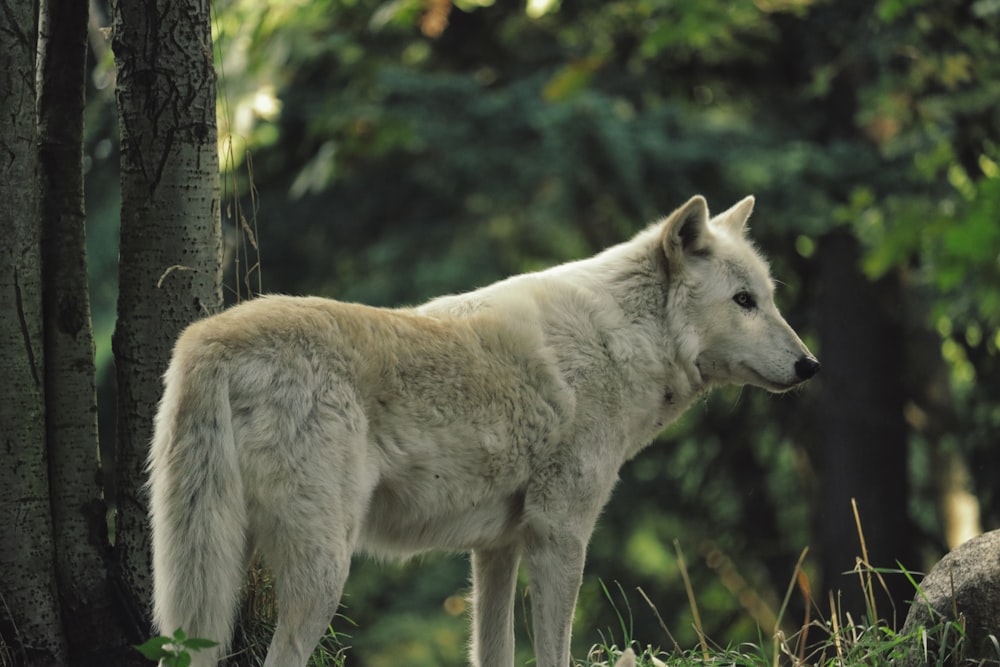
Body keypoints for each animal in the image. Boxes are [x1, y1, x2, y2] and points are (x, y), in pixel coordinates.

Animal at [148, 194, 820, 667]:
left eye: (768, 297)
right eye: (743, 301)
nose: (810, 365)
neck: (621, 341)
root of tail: (209, 338)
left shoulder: (496, 549)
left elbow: (493, 650)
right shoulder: (560, 534)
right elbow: (553, 652)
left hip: (210, 574)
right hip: (322, 572)